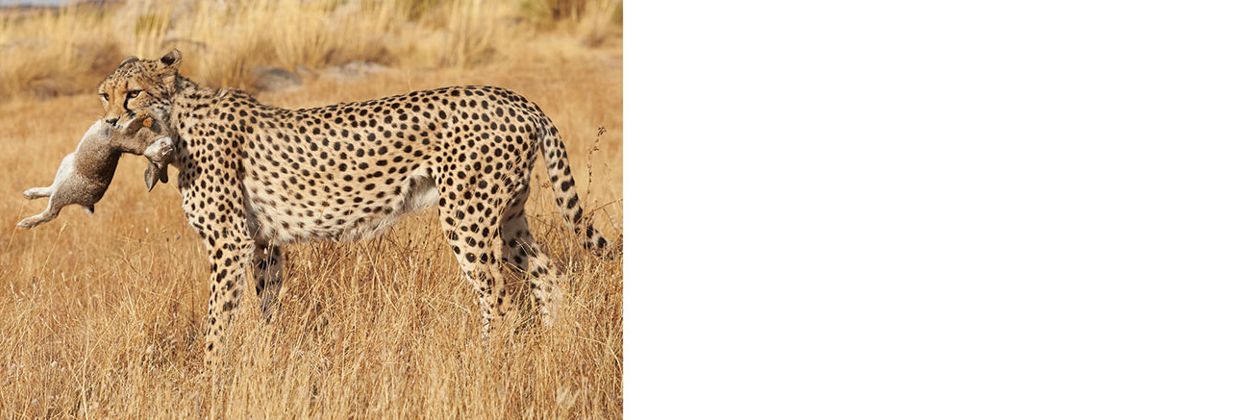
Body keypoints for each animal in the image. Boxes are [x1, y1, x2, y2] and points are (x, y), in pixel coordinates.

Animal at [96, 49, 611, 363]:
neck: (176, 117)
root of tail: (517, 98)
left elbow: (218, 317)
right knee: (547, 274)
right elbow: (266, 306)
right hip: (507, 217)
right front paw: (268, 357)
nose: (110, 121)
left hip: (466, 216)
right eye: (105, 94)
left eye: (133, 92)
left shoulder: (230, 242)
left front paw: (211, 374)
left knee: (498, 297)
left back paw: (487, 363)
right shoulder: (264, 243)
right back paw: (553, 348)